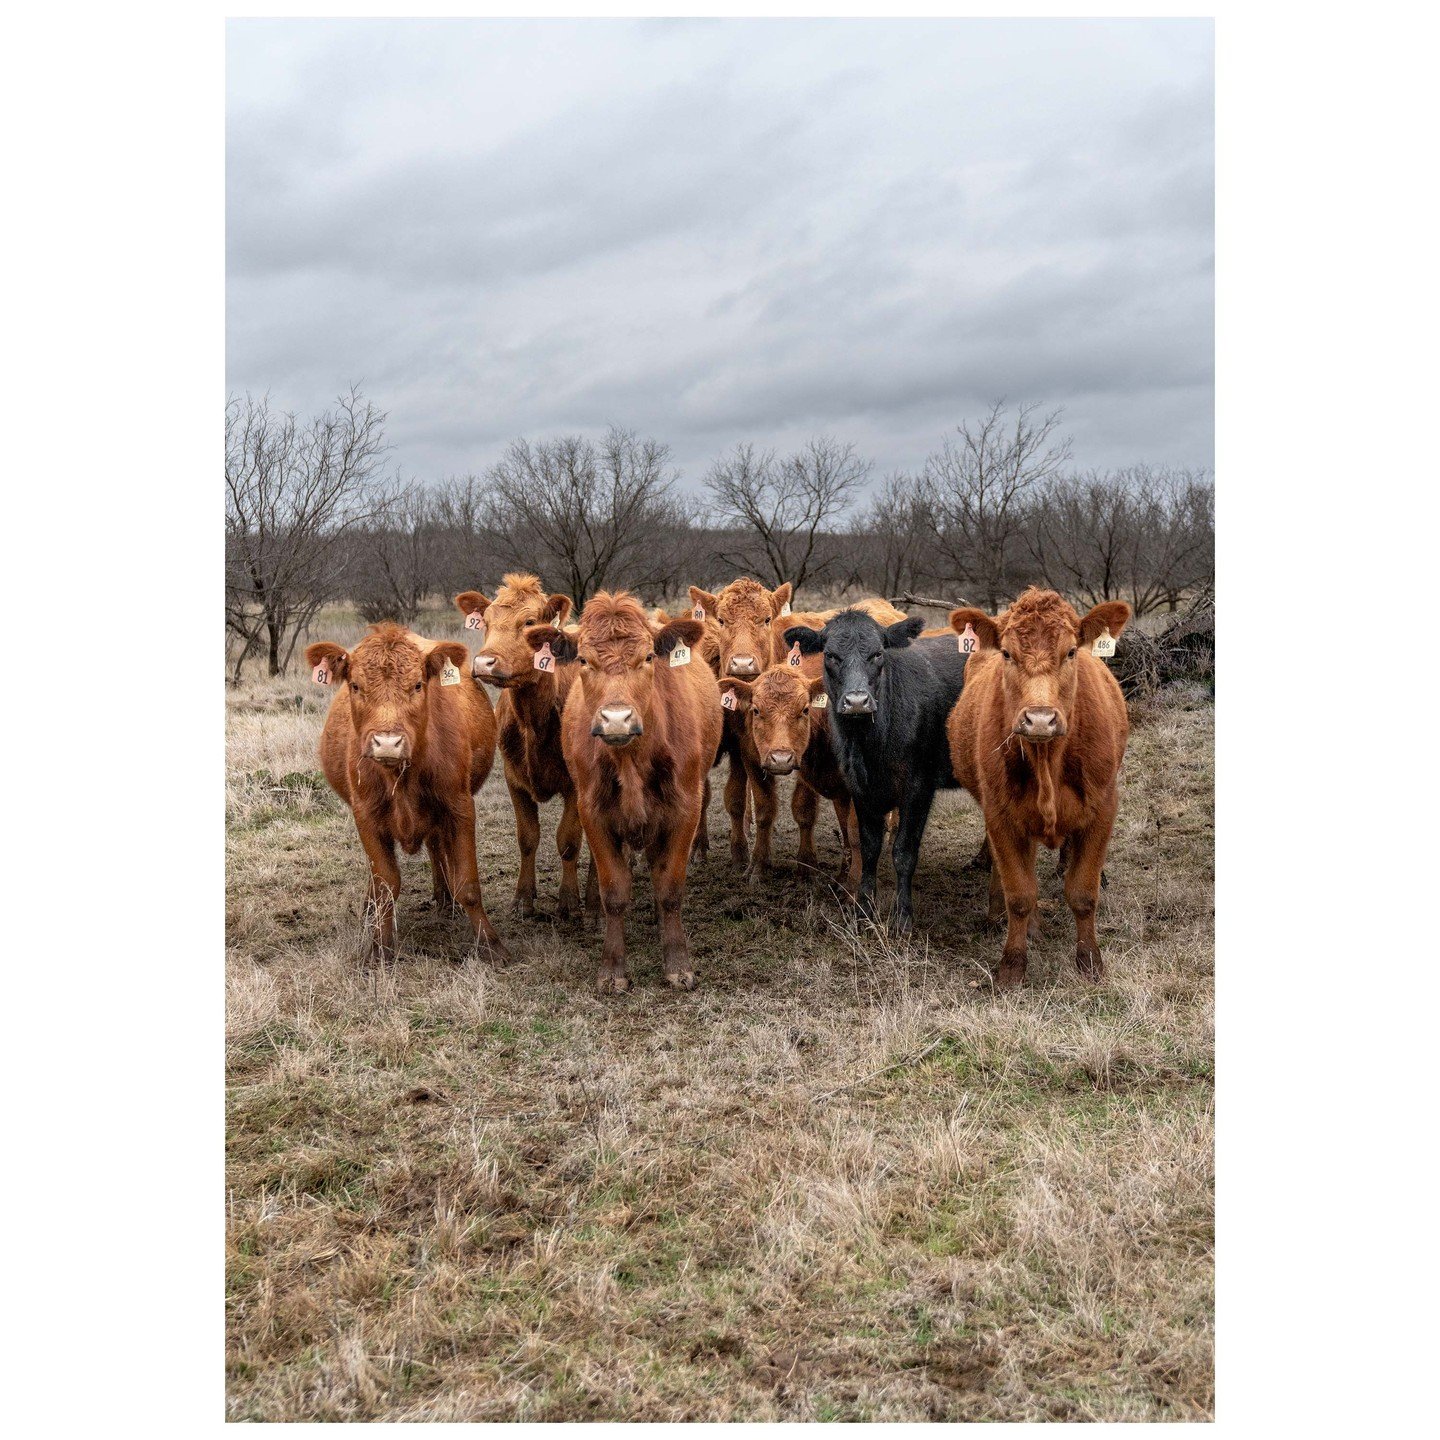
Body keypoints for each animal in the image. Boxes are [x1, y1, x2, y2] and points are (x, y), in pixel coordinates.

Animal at [306, 624, 509, 961]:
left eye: (417, 685)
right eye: (356, 686)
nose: (388, 743)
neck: (400, 777)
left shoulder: (460, 808)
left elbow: (468, 884)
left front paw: (491, 945)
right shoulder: (365, 816)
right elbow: (386, 884)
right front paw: (380, 947)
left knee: (438, 850)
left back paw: (445, 899)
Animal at [446, 570, 587, 915]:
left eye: (530, 622)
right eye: (485, 621)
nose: (484, 663)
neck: (534, 722)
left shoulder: (576, 784)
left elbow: (568, 841)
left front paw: (568, 901)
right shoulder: (514, 779)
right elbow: (527, 838)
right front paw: (523, 897)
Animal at [527, 590, 720, 996]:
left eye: (647, 657)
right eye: (584, 659)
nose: (616, 719)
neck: (632, 759)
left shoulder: (685, 811)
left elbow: (670, 888)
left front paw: (678, 966)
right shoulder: (593, 813)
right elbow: (614, 892)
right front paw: (612, 970)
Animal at [944, 590, 1134, 984]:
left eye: (1071, 652)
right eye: (1006, 654)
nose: (1041, 719)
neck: (1049, 760)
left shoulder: (1103, 808)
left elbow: (1083, 892)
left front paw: (1090, 962)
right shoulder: (1001, 815)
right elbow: (1020, 892)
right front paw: (1012, 966)